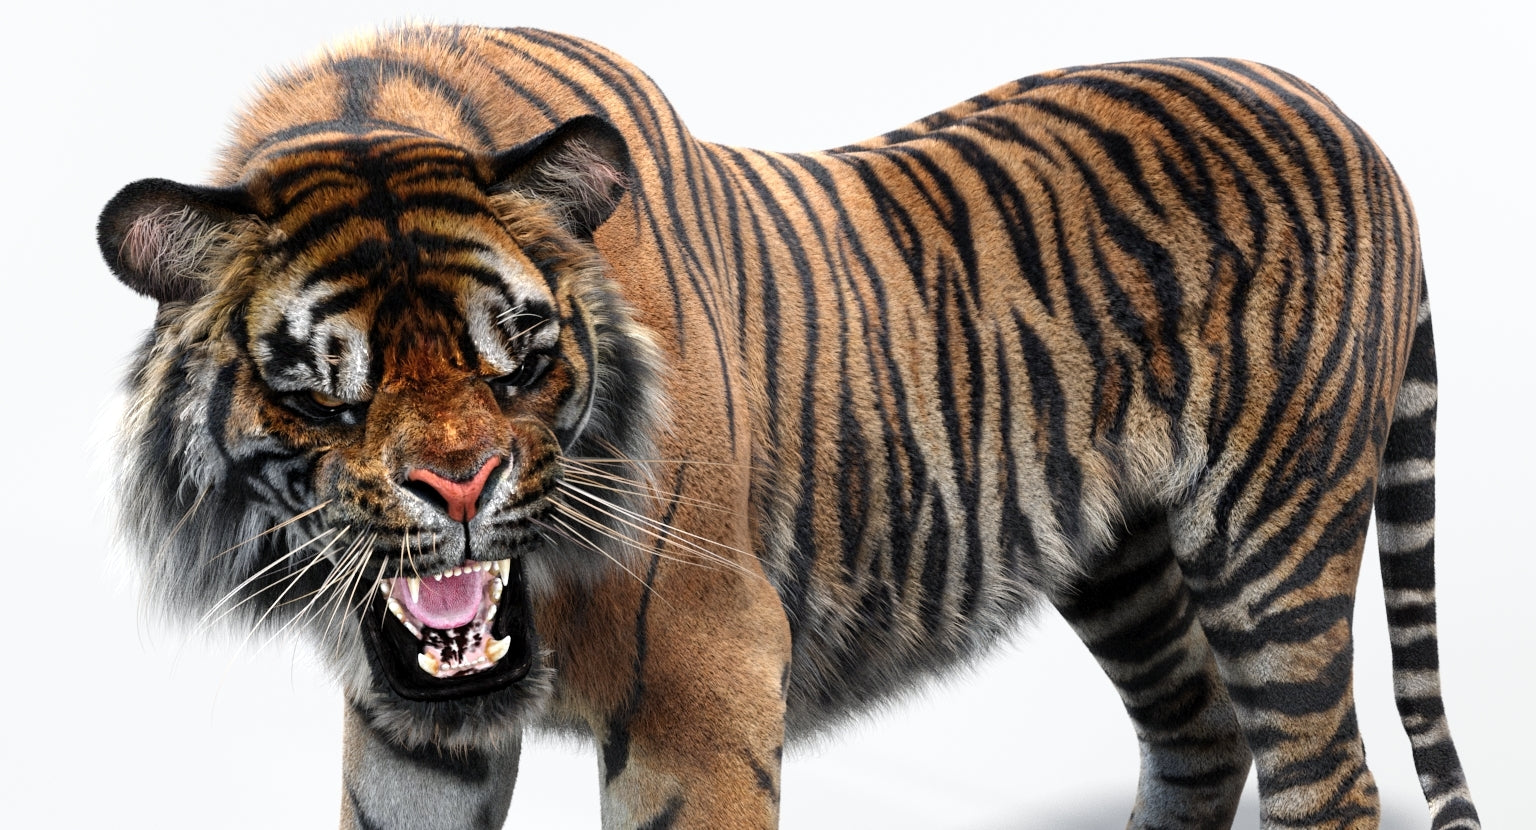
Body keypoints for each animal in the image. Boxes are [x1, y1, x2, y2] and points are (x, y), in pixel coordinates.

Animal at [97, 24, 1479, 830]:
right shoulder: (409, 729)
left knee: (1325, 774)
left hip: (1272, 542)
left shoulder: (703, 676)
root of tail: (1346, 116)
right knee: (1197, 734)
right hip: (1121, 555)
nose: (461, 484)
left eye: (521, 357)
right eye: (328, 385)